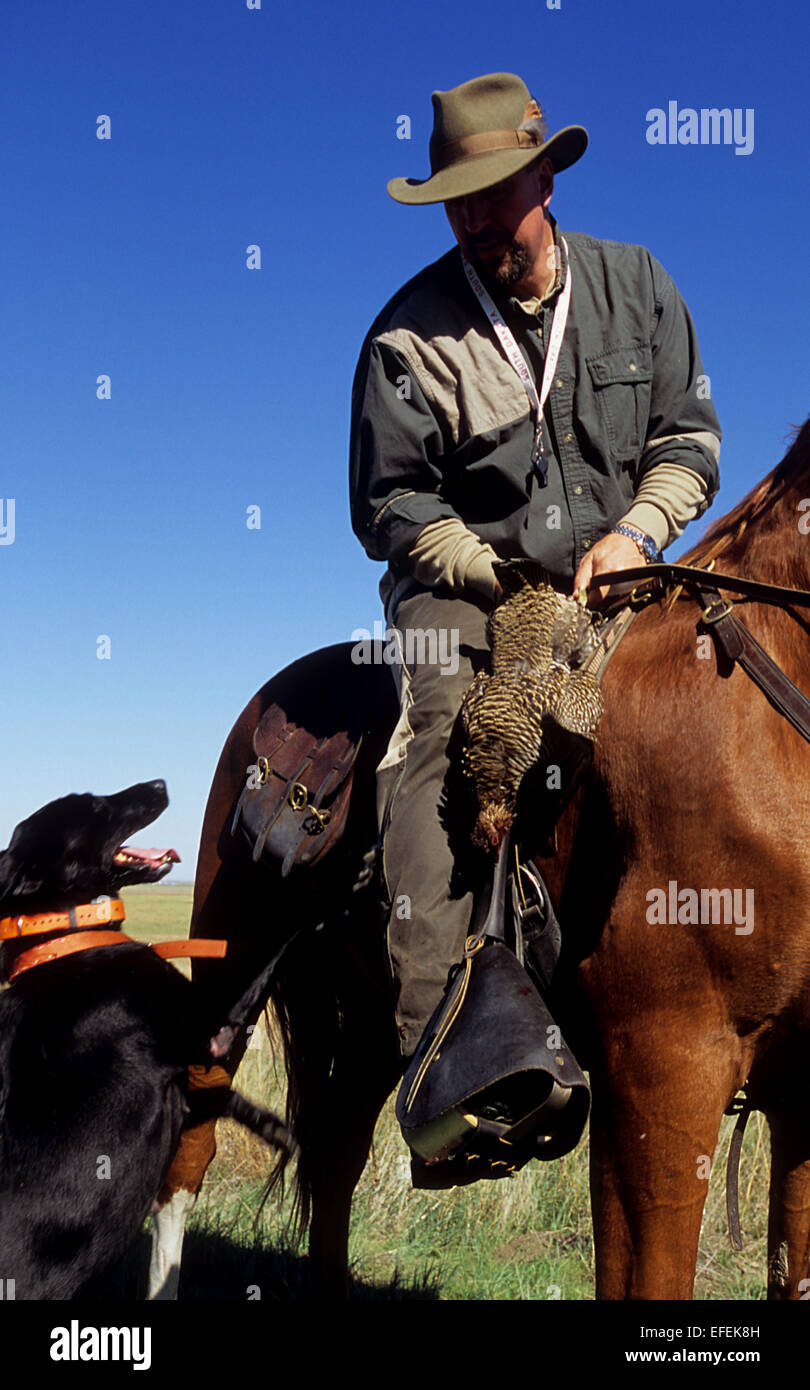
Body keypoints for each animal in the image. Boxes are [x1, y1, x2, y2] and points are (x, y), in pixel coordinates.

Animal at [0, 783, 295, 1301]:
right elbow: (272, 951)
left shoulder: (189, 1069)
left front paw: (271, 1125)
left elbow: (218, 1096)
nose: (159, 784)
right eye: (95, 805)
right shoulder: (211, 1029)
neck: (64, 940)